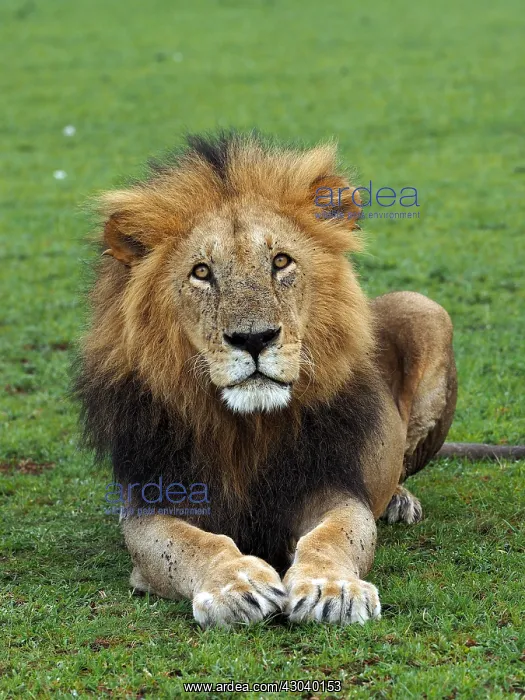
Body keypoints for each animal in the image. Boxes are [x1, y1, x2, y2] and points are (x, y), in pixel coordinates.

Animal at [75, 132, 457, 627]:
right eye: (202, 272)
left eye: (280, 262)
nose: (254, 338)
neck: (247, 428)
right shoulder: (152, 503)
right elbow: (195, 544)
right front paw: (236, 585)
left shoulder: (331, 486)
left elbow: (334, 535)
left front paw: (331, 588)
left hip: (427, 311)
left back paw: (398, 500)